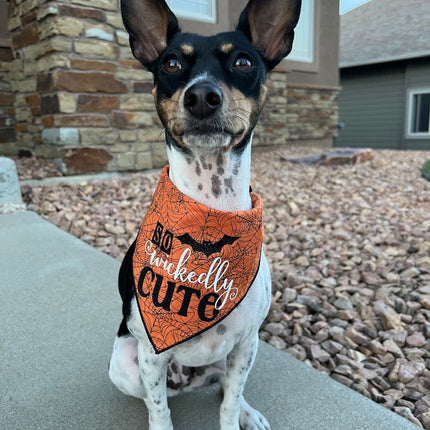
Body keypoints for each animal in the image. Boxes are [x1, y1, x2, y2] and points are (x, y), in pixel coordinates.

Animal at [109, 1, 300, 428]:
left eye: (244, 61)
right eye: (172, 63)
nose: (200, 96)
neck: (210, 204)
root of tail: (188, 379)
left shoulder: (247, 343)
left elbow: (229, 401)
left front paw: (236, 416)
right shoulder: (149, 354)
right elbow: (159, 408)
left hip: (231, 358)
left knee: (227, 387)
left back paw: (249, 412)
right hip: (124, 364)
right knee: (155, 395)